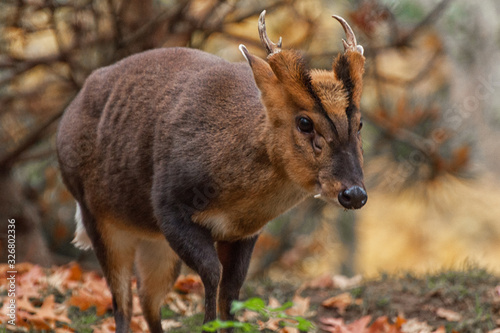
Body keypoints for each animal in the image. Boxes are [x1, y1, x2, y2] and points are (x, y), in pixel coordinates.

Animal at [56, 10, 366, 332]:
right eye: (304, 122)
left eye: (359, 122)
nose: (354, 194)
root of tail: (66, 118)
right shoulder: (169, 208)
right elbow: (212, 273)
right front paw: (208, 324)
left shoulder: (245, 233)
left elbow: (231, 288)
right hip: (98, 218)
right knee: (123, 303)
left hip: (152, 240)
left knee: (147, 299)